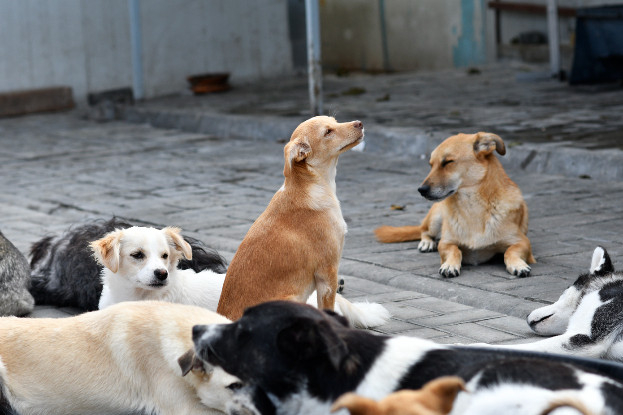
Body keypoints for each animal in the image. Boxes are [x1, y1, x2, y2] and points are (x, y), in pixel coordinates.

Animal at [217, 116, 389, 326]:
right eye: (328, 132)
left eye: (335, 121)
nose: (359, 123)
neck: (312, 185)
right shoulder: (327, 273)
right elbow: (329, 310)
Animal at [374, 132, 535, 278]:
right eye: (431, 165)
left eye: (448, 162)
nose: (421, 190)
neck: (472, 206)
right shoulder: (446, 242)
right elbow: (454, 250)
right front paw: (449, 265)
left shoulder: (522, 242)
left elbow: (510, 251)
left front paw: (518, 265)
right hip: (436, 217)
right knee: (424, 231)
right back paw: (426, 243)